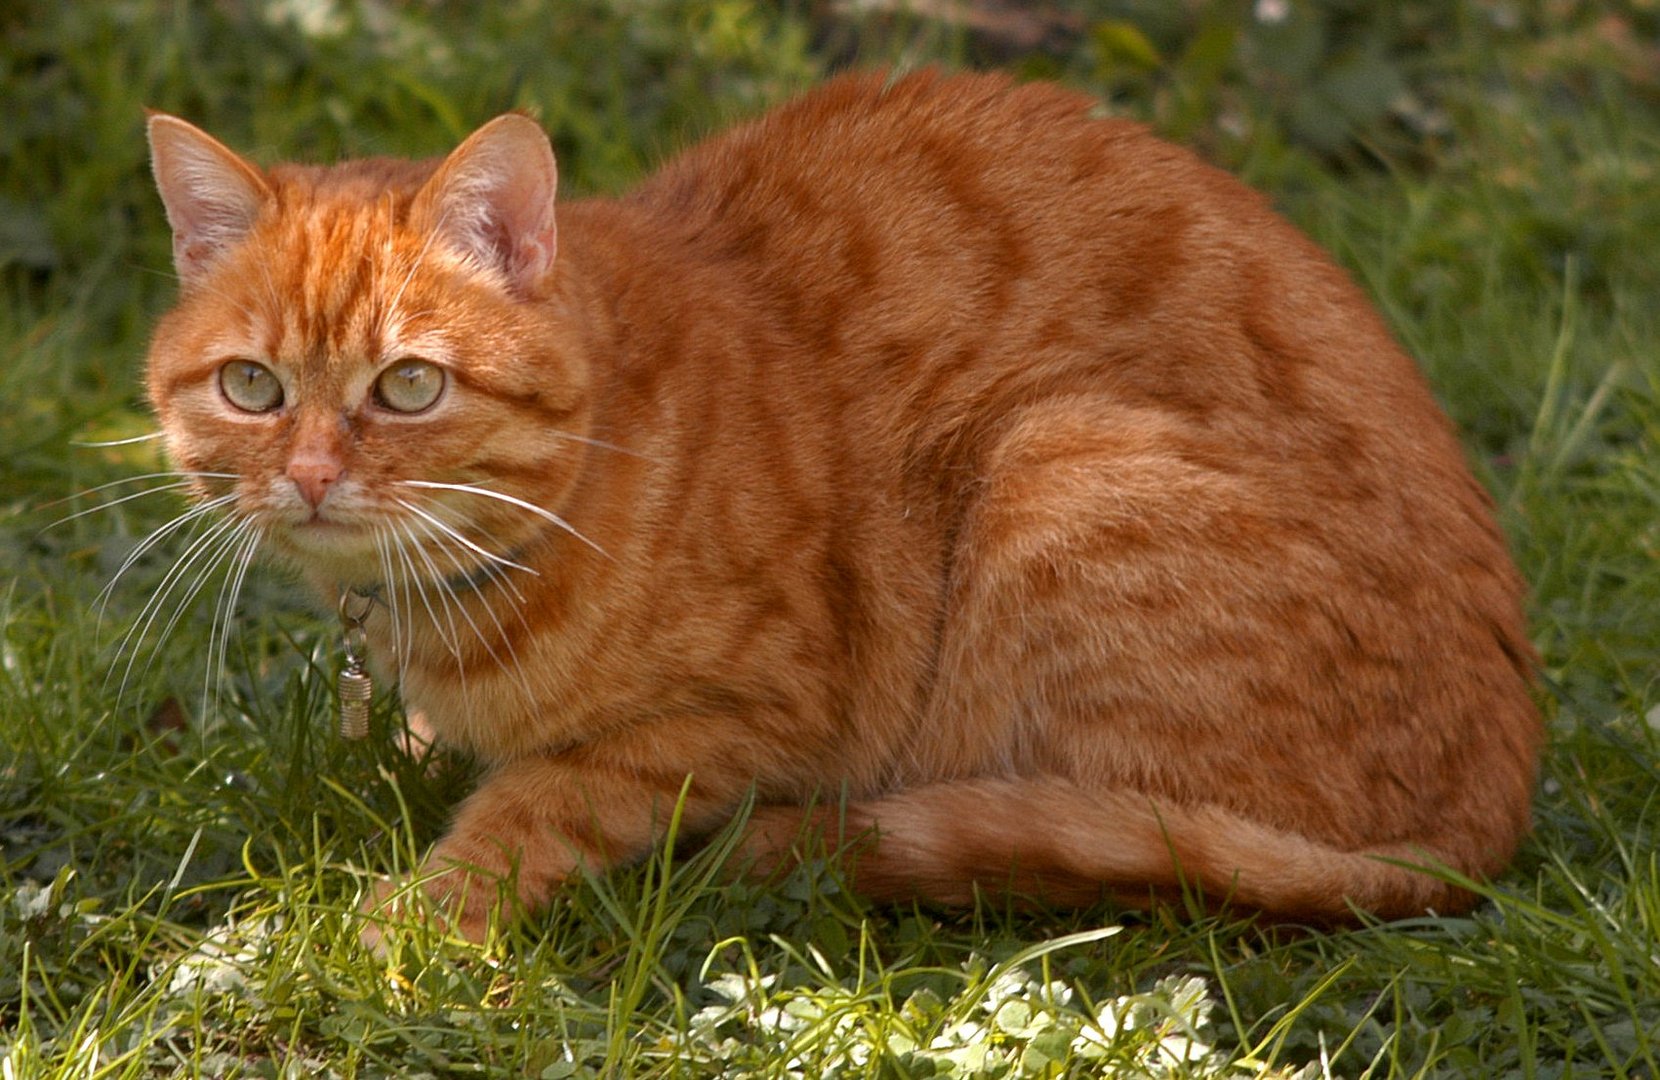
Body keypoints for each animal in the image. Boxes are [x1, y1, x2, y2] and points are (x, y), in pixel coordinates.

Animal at [142, 71, 1540, 942]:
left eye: (409, 385)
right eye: (255, 387)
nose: (311, 476)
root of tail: (1485, 830)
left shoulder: (742, 713)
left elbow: (535, 806)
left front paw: (410, 921)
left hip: (1054, 464)